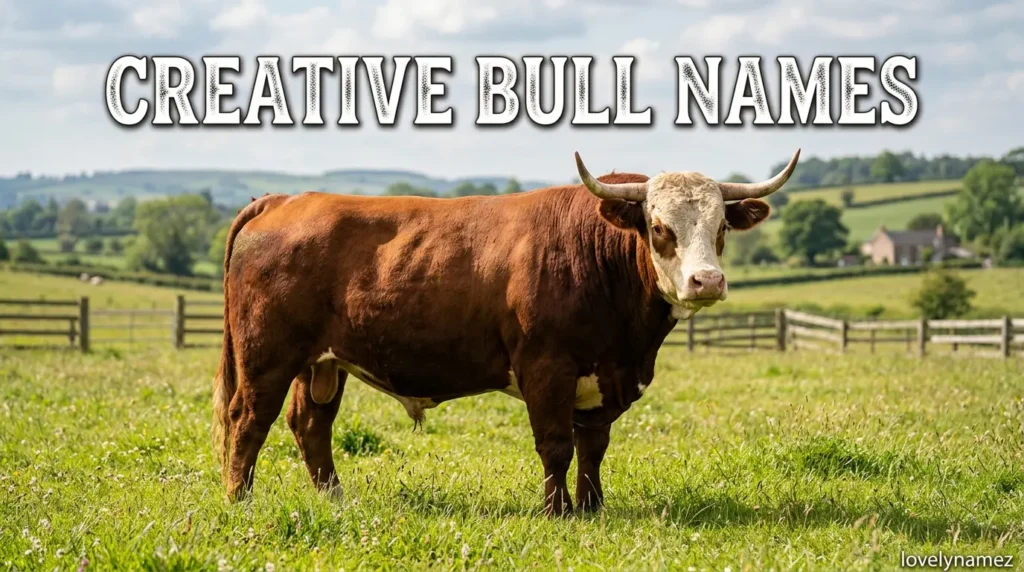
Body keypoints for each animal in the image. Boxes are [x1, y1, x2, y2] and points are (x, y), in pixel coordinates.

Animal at [212, 149, 800, 515]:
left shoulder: (602, 378)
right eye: (659, 227)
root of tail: (285, 199)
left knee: (310, 424)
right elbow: (556, 446)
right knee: (248, 421)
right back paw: (239, 501)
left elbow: (593, 447)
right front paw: (557, 513)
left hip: (322, 363)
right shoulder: (546, 368)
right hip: (266, 357)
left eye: (721, 228)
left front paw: (593, 508)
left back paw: (335, 501)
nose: (708, 281)